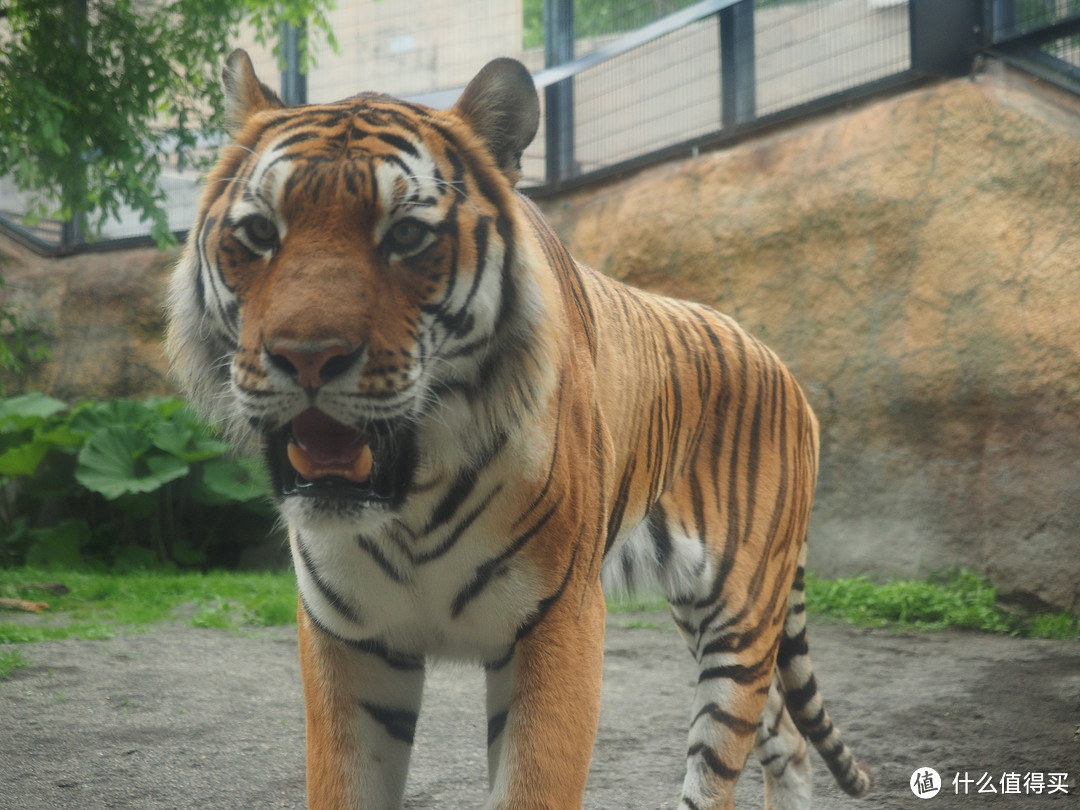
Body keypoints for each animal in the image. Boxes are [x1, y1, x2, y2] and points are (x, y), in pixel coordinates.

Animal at [164, 52, 868, 810]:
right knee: (787, 739)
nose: (306, 357)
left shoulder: (559, 623)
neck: (410, 501)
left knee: (723, 759)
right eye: (260, 233)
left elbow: (536, 782)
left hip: (741, 614)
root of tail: (783, 366)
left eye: (406, 235)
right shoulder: (346, 637)